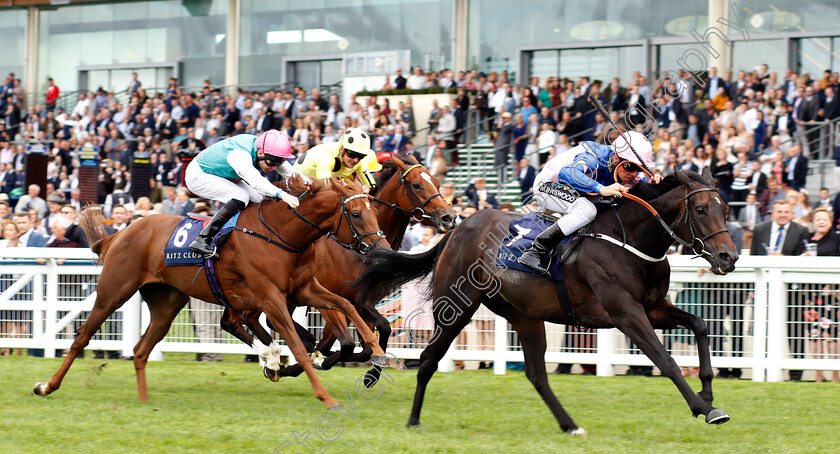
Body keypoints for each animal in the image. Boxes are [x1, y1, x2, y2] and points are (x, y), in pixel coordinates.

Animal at [37, 176, 394, 408]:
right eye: (357, 214)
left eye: (374, 211)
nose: (383, 251)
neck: (283, 234)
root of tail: (121, 232)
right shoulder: (272, 298)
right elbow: (300, 347)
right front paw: (327, 397)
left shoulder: (305, 289)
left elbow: (346, 305)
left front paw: (376, 351)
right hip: (114, 290)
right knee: (83, 336)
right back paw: (47, 386)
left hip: (166, 303)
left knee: (140, 350)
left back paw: (144, 399)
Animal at [220, 156, 456, 384]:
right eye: (416, 185)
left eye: (437, 182)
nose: (449, 217)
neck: (354, 252)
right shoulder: (333, 299)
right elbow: (349, 341)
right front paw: (311, 360)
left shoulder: (360, 301)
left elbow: (373, 336)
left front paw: (369, 372)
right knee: (252, 319)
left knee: (246, 319)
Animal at [352, 168, 740, 434]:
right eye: (701, 209)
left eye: (724, 208)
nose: (729, 257)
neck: (629, 239)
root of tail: (458, 228)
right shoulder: (625, 313)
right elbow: (666, 360)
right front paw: (707, 410)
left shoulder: (653, 307)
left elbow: (699, 324)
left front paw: (707, 392)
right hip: (456, 305)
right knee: (429, 359)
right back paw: (413, 419)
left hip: (524, 315)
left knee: (537, 373)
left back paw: (571, 424)